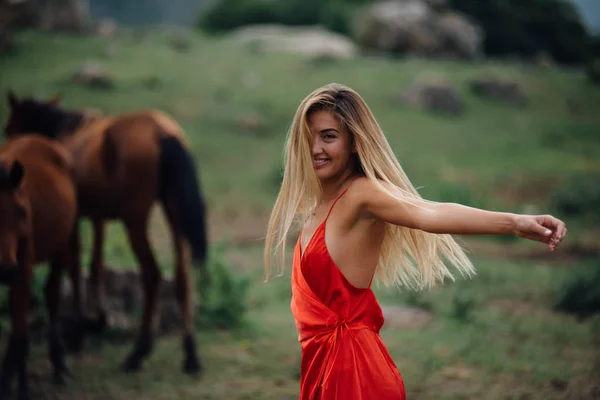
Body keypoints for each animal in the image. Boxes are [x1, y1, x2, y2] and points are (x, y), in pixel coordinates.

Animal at [0, 134, 82, 400]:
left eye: (22, 212)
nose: (5, 270)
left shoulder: (23, 270)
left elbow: (23, 338)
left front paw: (23, 391)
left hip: (64, 246)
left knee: (52, 294)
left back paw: (59, 366)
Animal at [3, 91, 210, 376]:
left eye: (8, 128)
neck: (66, 131)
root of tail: (162, 132)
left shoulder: (77, 220)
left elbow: (76, 269)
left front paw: (79, 330)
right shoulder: (98, 217)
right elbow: (96, 265)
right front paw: (97, 320)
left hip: (135, 220)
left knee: (152, 273)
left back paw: (139, 352)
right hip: (174, 212)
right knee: (182, 276)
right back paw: (190, 354)